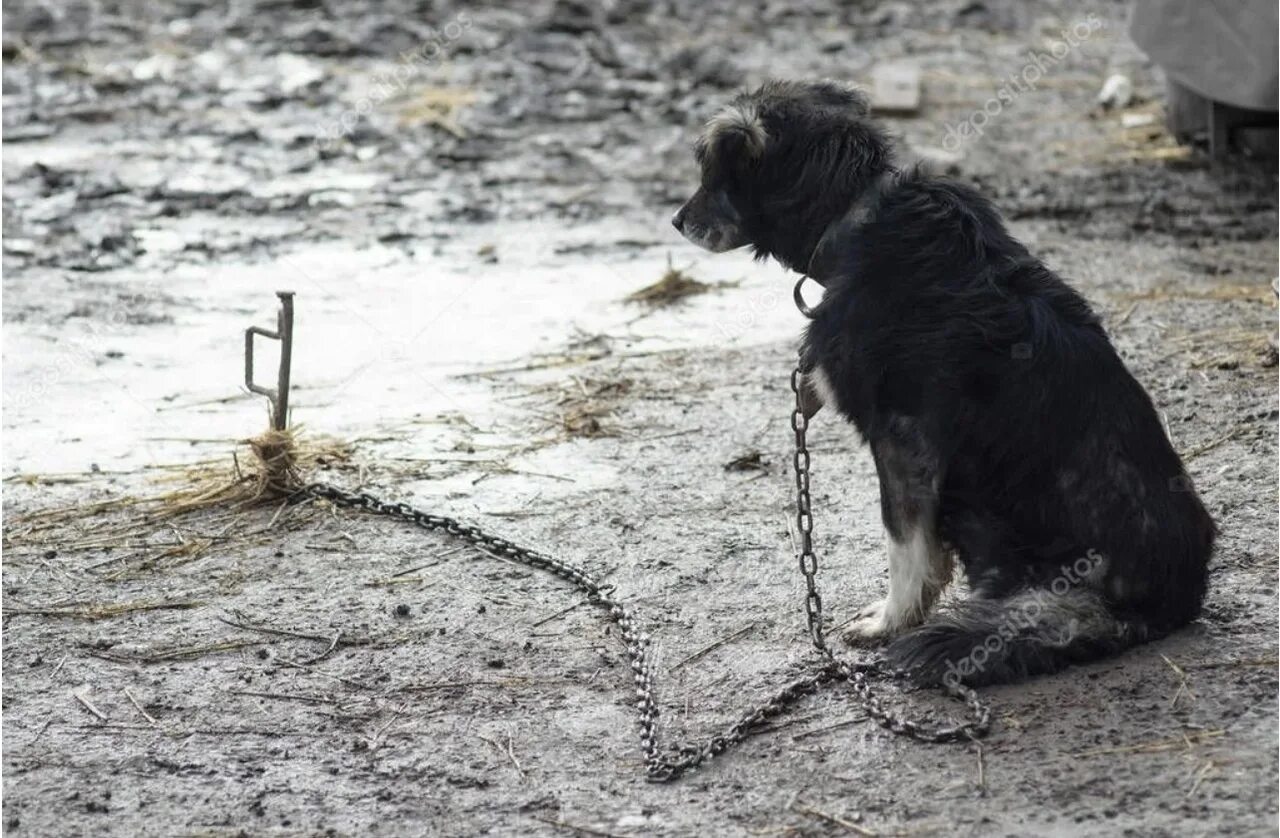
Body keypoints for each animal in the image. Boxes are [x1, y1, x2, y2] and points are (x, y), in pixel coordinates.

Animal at [675, 80, 1213, 690]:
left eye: (713, 173)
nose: (676, 221)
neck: (854, 218)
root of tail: (1171, 600)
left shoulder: (904, 441)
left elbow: (905, 542)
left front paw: (892, 620)